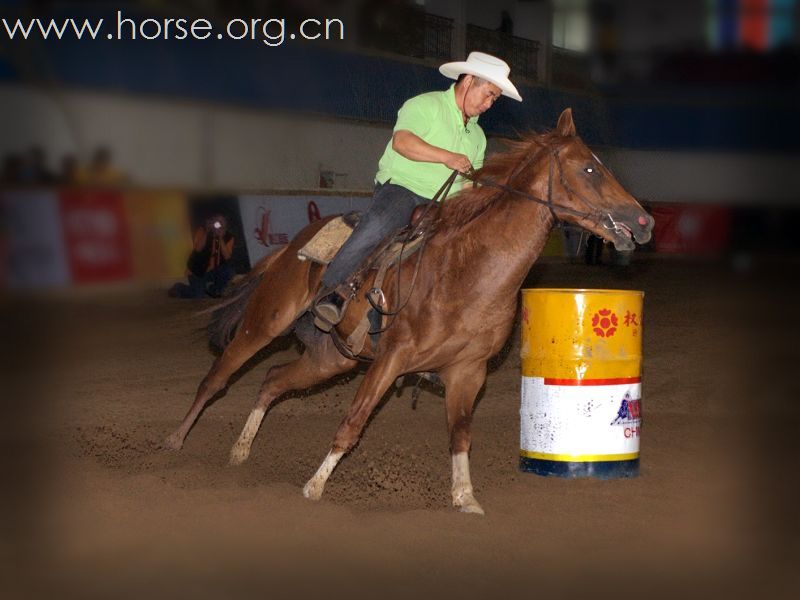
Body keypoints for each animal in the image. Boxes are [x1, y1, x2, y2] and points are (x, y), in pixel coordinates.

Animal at [166, 110, 652, 512]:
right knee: (219, 377)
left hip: (331, 359)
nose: (643, 221)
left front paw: (465, 498)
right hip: (267, 323)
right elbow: (353, 423)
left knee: (271, 380)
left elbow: (460, 435)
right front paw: (315, 487)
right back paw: (174, 441)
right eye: (589, 168)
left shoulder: (467, 371)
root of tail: (291, 245)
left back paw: (240, 451)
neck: (466, 271)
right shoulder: (392, 357)